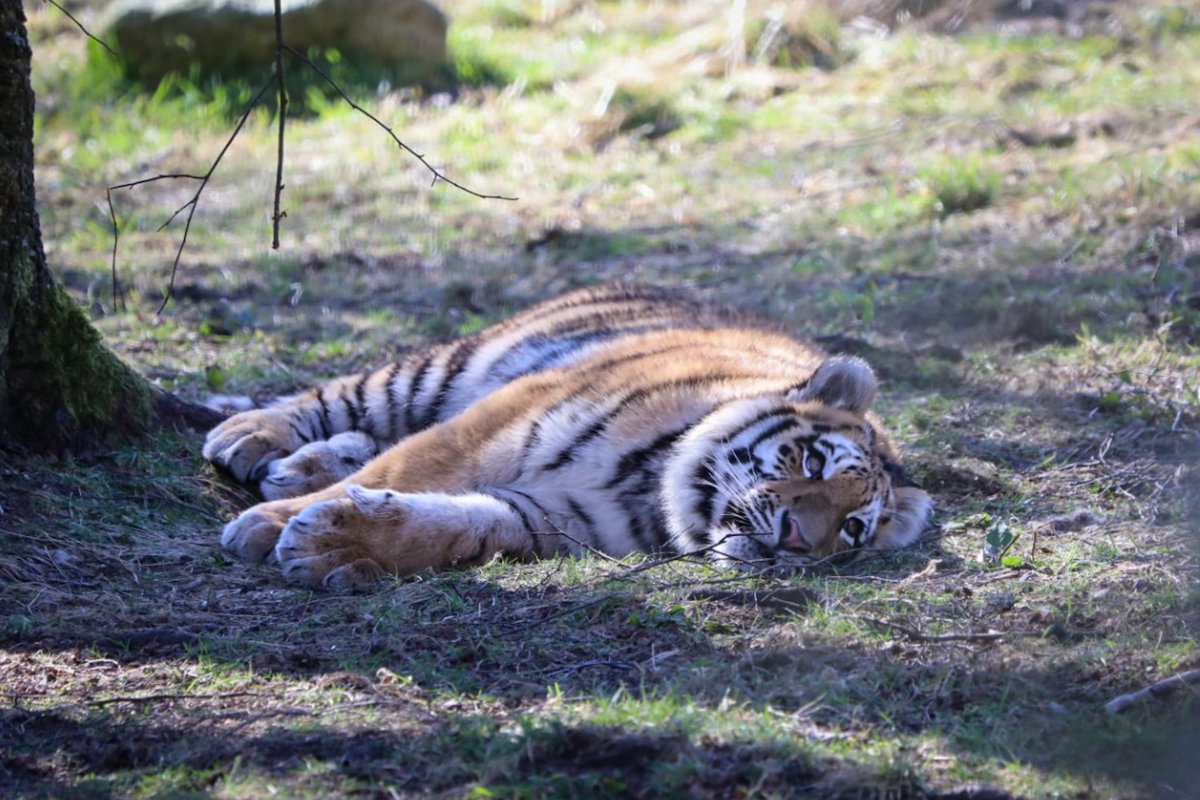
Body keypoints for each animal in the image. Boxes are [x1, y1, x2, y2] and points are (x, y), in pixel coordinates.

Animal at [204, 284, 932, 590]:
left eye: (852, 530)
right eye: (811, 462)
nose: (798, 542)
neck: (652, 489)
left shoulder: (549, 514)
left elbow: (450, 524)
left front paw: (335, 542)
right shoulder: (495, 425)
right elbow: (403, 471)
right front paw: (269, 526)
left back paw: (301, 466)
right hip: (450, 369)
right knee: (356, 396)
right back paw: (251, 436)